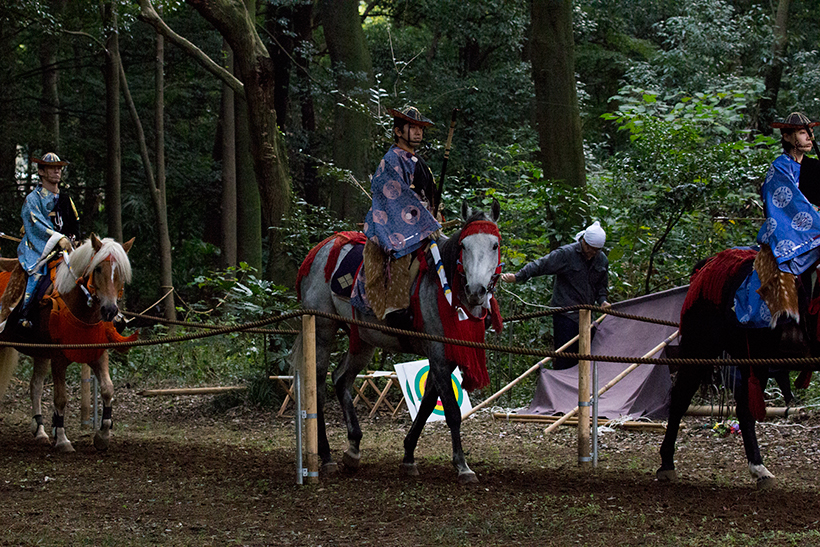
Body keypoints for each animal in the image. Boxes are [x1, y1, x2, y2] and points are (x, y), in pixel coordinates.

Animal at [0, 235, 136, 454]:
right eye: (98, 268)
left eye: (121, 272)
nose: (109, 311)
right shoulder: (58, 357)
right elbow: (61, 398)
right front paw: (63, 439)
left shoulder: (97, 353)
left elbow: (108, 388)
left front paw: (103, 435)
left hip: (40, 352)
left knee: (35, 386)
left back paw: (40, 431)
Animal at [292, 201, 502, 484]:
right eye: (464, 246)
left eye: (494, 245)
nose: (477, 290)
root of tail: (323, 248)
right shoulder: (438, 353)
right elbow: (451, 410)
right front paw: (462, 465)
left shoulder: (443, 358)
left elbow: (426, 406)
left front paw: (409, 456)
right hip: (322, 329)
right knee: (318, 388)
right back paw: (326, 457)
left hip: (363, 338)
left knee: (341, 379)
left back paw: (354, 447)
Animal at [656, 248, 816, 488]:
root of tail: (710, 264)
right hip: (700, 348)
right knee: (681, 398)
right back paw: (667, 463)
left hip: (753, 359)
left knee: (744, 408)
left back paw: (760, 470)